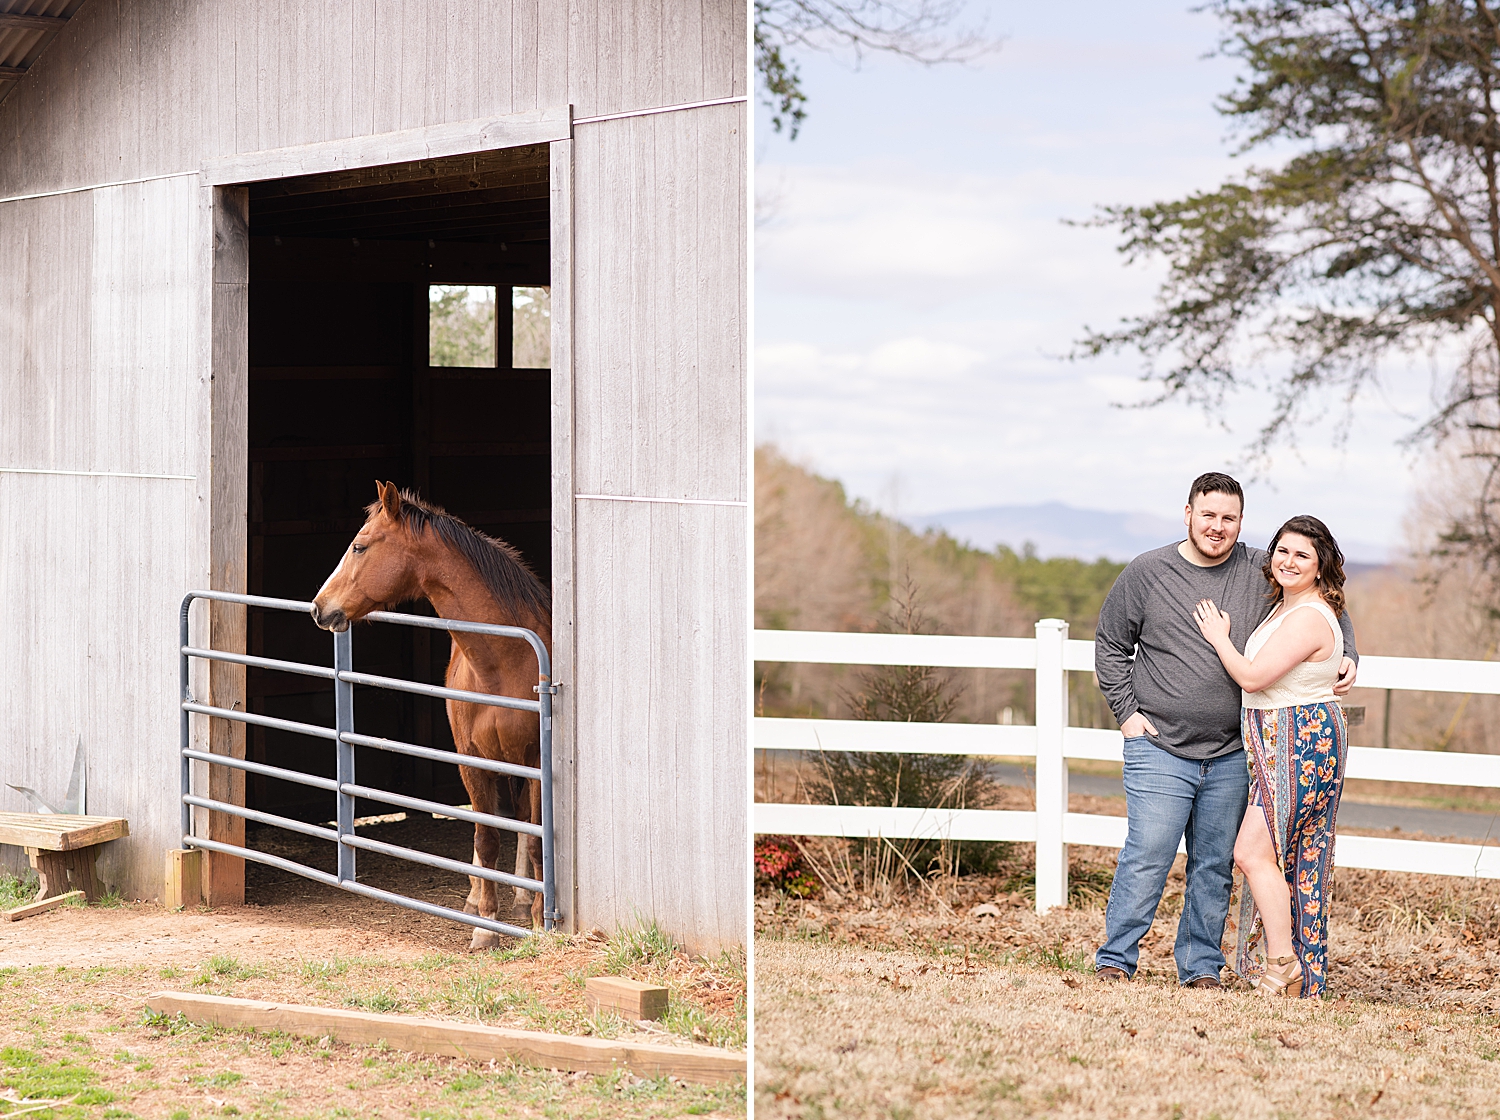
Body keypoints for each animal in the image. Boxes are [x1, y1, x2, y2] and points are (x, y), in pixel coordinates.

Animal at [310, 482, 552, 947]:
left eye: (359, 547)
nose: (319, 607)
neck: (503, 662)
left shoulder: (533, 760)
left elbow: (534, 841)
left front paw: (536, 921)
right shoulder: (472, 760)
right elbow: (485, 837)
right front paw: (484, 929)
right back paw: (479, 900)